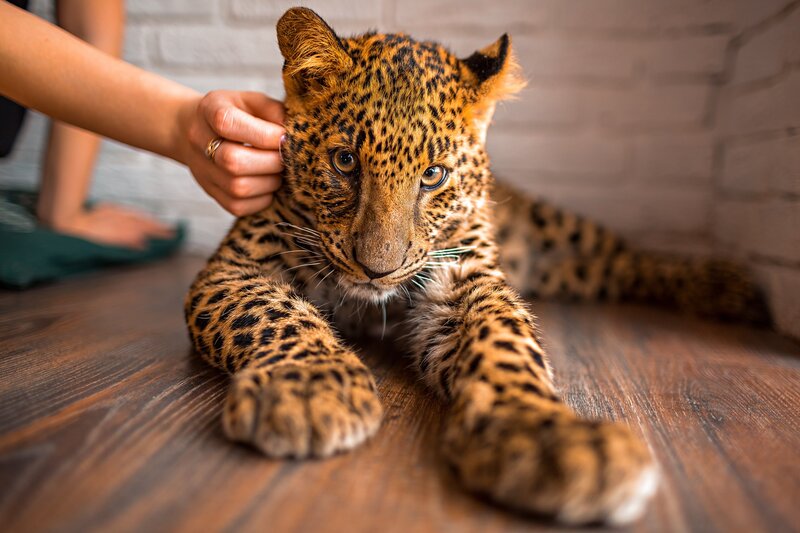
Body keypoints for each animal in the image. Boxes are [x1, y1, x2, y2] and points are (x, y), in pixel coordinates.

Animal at [184, 7, 769, 526]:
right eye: (344, 161)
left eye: (434, 175)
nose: (377, 270)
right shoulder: (238, 267)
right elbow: (273, 313)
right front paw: (309, 388)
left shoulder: (465, 279)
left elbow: (504, 337)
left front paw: (547, 435)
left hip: (559, 233)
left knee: (625, 256)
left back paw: (727, 287)